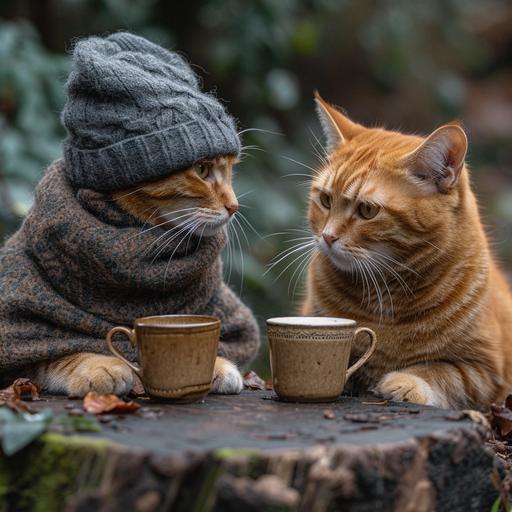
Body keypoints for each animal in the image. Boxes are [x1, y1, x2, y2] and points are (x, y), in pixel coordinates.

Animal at [36, 156, 244, 396]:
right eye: (201, 169)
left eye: (230, 170)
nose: (235, 207)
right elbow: (60, 354)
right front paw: (100, 368)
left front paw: (215, 365)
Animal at [302, 94, 512, 410]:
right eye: (326, 200)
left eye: (367, 210)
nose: (327, 236)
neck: (385, 292)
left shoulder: (488, 373)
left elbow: (445, 373)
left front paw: (406, 382)